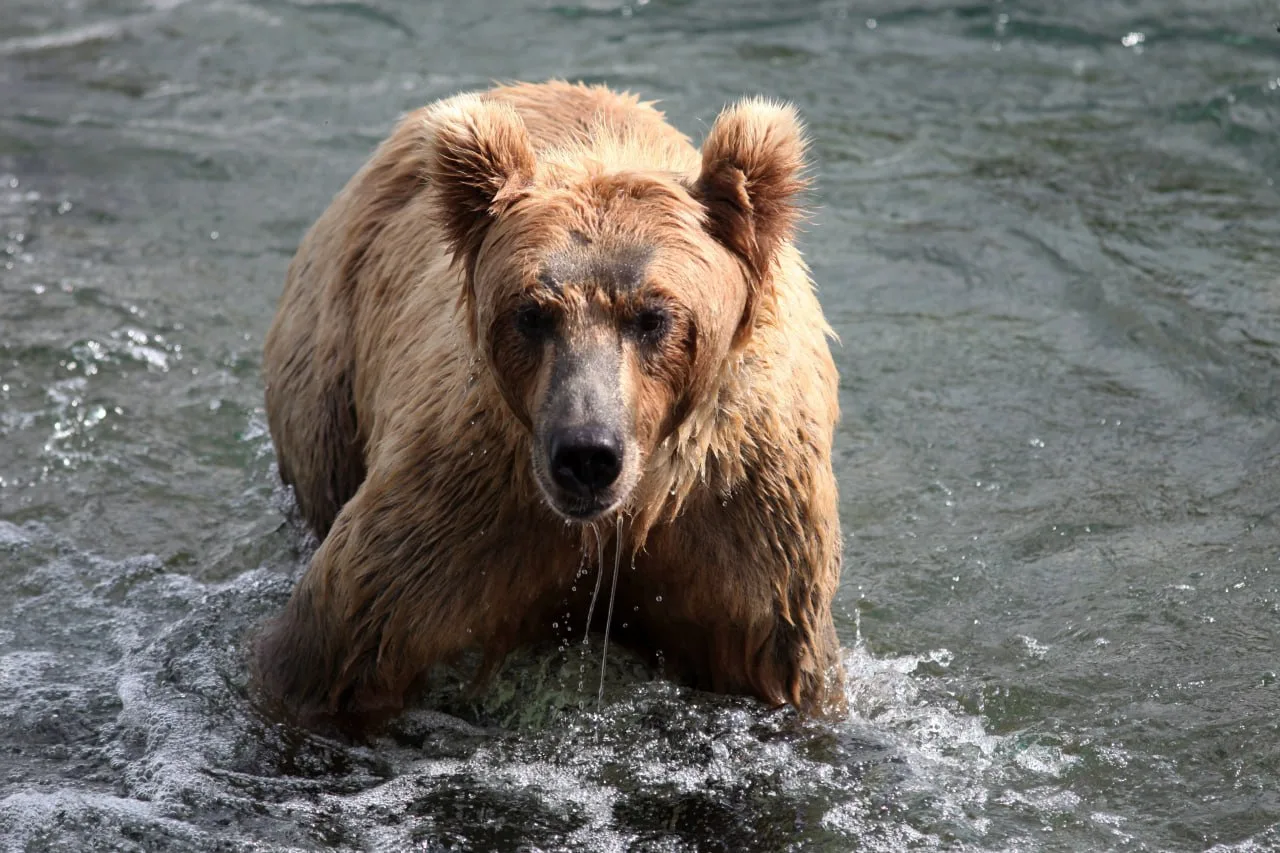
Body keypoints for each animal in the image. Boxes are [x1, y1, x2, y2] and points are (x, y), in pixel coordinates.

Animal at [255, 80, 844, 732]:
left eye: (654, 316)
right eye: (532, 313)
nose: (587, 454)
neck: (624, 517)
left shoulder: (742, 524)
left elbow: (778, 670)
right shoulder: (464, 506)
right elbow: (335, 649)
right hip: (328, 366)